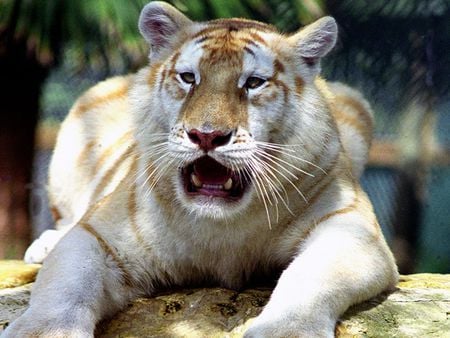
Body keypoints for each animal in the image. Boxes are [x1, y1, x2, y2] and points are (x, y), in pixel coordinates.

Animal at [3, 1, 398, 336]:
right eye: (189, 78)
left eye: (253, 83)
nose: (206, 135)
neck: (222, 227)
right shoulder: (99, 237)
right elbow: (65, 285)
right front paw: (41, 331)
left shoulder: (350, 228)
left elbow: (309, 278)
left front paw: (284, 331)